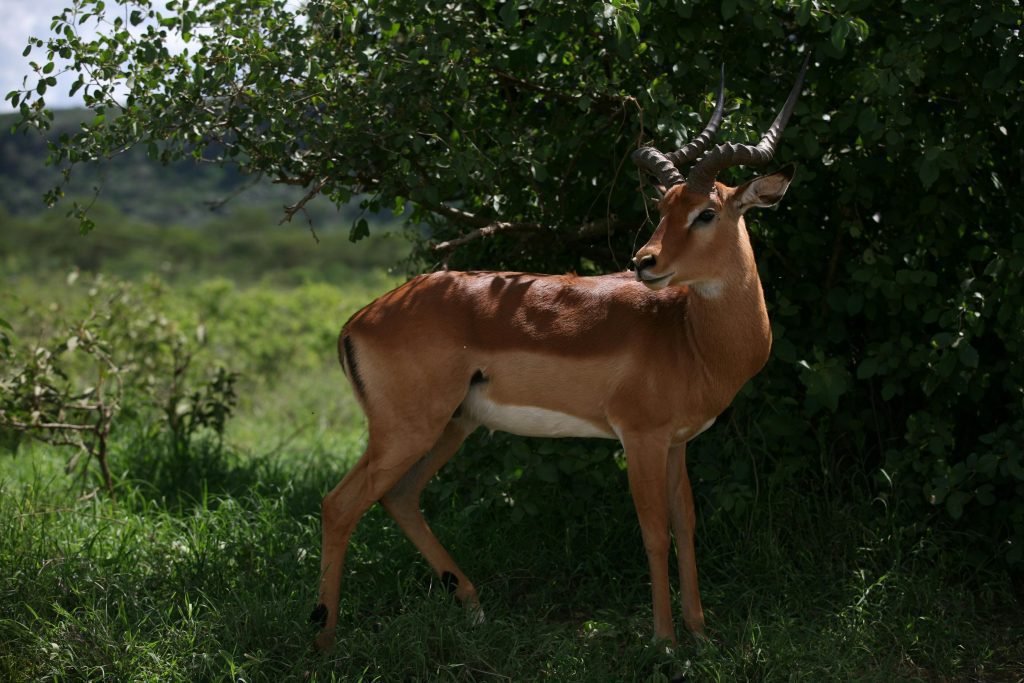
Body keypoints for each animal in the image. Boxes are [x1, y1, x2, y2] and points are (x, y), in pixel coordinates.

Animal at [311, 58, 809, 648]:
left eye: (705, 211)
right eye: (664, 206)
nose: (644, 261)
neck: (688, 336)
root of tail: (359, 319)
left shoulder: (676, 443)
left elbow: (686, 527)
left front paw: (701, 634)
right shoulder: (639, 437)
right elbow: (654, 531)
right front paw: (664, 641)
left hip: (452, 426)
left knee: (400, 498)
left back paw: (473, 608)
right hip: (407, 429)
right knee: (339, 504)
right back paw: (324, 639)